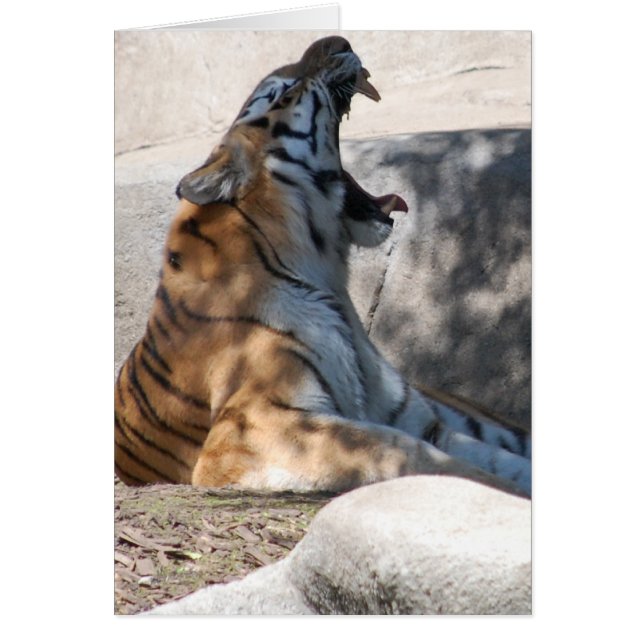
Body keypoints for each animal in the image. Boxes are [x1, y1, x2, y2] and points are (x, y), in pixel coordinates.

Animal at [114, 36, 531, 497]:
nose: (338, 42)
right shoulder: (253, 426)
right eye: (283, 91)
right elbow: (402, 451)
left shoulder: (418, 418)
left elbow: (497, 459)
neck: (326, 275)